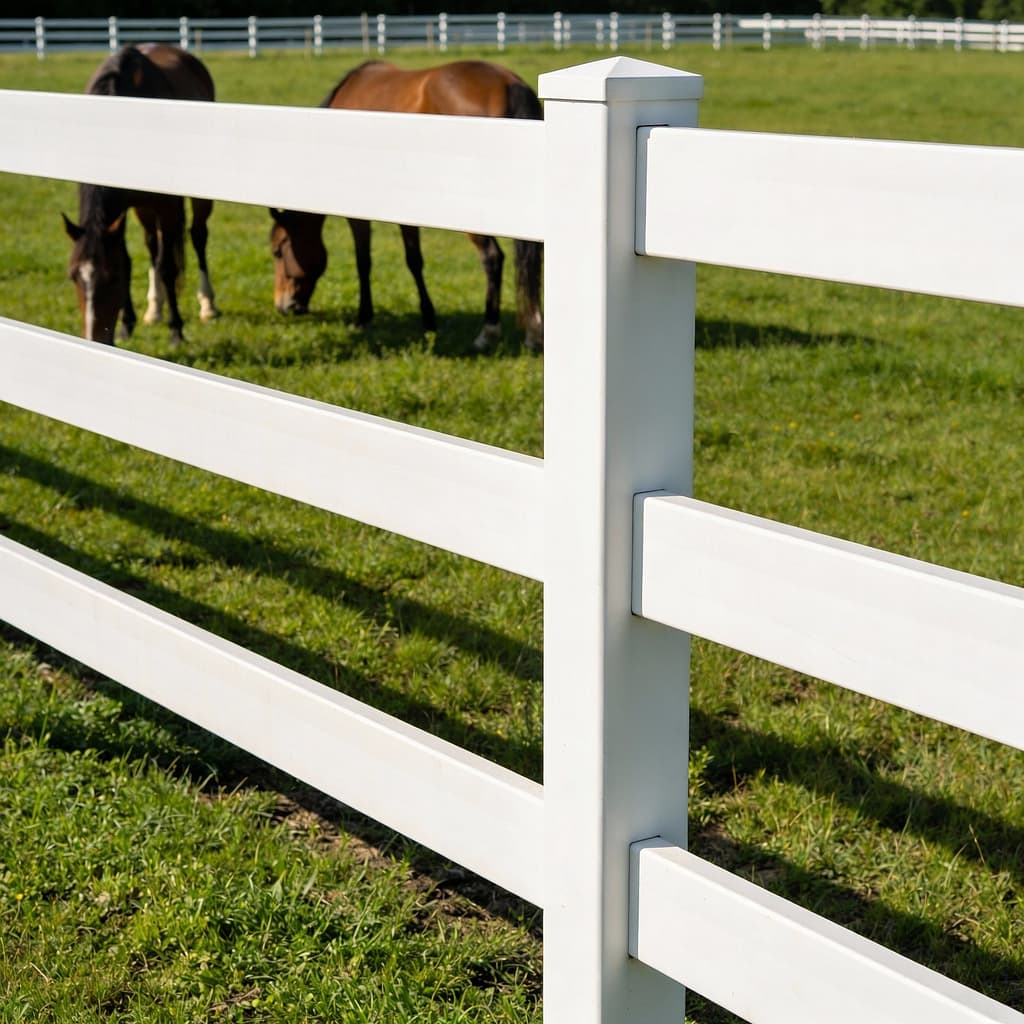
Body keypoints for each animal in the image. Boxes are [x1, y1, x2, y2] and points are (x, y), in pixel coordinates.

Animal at [62, 44, 219, 345]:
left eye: (111, 278)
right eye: (74, 276)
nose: (94, 339)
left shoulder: (167, 204)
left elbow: (168, 267)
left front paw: (176, 330)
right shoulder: (123, 210)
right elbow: (131, 258)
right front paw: (127, 324)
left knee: (197, 236)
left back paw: (208, 305)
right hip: (142, 208)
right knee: (152, 244)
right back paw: (154, 309)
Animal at [269, 60, 544, 353]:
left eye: (278, 251)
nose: (283, 305)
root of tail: (509, 85)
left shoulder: (360, 215)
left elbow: (365, 261)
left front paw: (364, 316)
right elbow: (414, 260)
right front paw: (428, 318)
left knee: (492, 258)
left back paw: (488, 332)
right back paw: (534, 332)